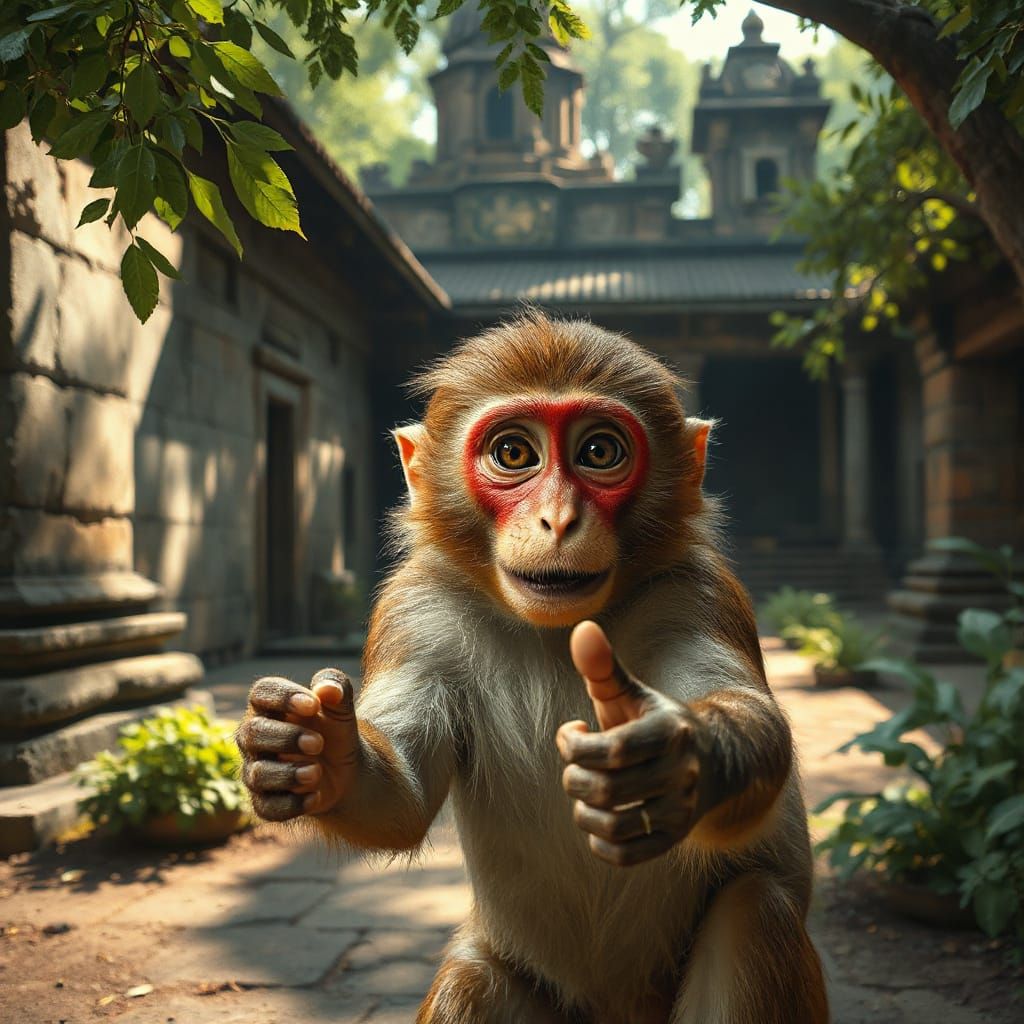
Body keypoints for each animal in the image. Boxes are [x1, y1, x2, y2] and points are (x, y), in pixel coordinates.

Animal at [236, 310, 829, 1024]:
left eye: (599, 452)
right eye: (514, 454)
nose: (558, 518)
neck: (555, 633)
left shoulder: (697, 596)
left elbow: (752, 726)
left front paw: (675, 762)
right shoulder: (415, 611)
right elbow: (402, 803)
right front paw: (319, 753)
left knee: (754, 911)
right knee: (471, 980)